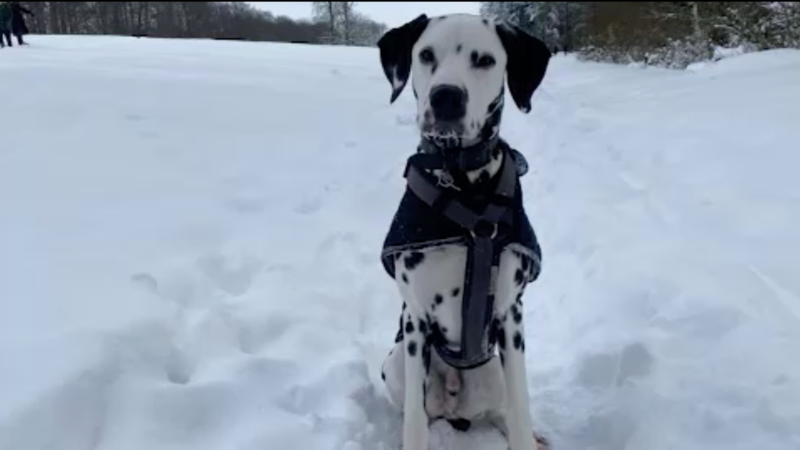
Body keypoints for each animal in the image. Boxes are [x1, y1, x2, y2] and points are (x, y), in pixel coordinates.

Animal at [378, 12, 552, 450]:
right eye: (425, 55)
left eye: (484, 60)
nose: (446, 97)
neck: (463, 186)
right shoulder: (416, 320)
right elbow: (414, 426)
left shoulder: (511, 318)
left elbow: (521, 411)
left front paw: (527, 435)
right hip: (395, 362)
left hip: (494, 372)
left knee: (504, 411)